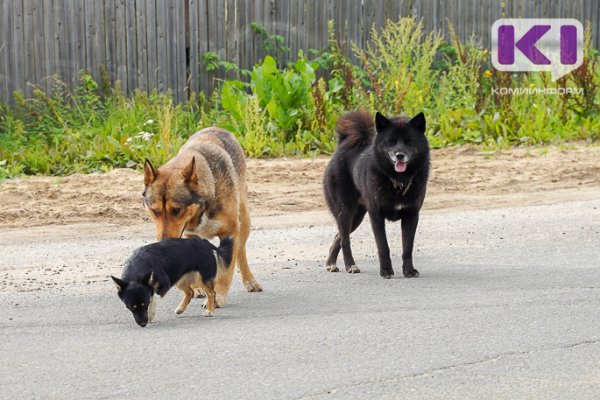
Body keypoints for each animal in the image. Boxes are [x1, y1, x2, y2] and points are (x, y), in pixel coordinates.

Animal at [143, 128, 262, 306]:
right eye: (155, 211)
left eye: (176, 210)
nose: (163, 242)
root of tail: (217, 128)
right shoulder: (189, 235)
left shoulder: (230, 234)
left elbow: (226, 271)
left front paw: (218, 296)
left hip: (244, 220)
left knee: (241, 251)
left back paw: (250, 280)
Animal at [326, 109, 428, 278]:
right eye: (391, 141)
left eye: (409, 141)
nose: (399, 155)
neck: (397, 180)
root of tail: (342, 146)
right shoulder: (376, 216)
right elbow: (383, 246)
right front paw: (386, 270)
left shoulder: (411, 215)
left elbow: (408, 248)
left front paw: (409, 271)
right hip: (346, 211)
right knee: (345, 240)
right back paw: (350, 265)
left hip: (357, 216)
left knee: (338, 236)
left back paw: (331, 263)